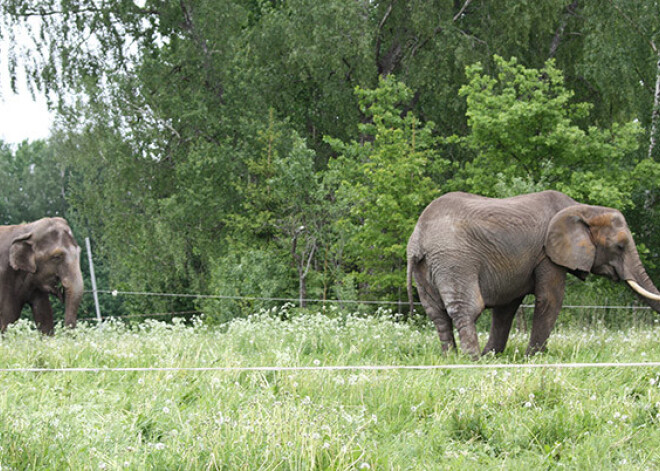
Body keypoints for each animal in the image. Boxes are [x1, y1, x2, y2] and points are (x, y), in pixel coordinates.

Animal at [404, 190, 660, 360]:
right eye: (620, 246)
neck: (584, 208)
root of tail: (418, 236)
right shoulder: (547, 254)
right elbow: (551, 299)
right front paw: (533, 358)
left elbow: (506, 308)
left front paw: (494, 356)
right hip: (455, 260)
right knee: (466, 309)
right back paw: (471, 360)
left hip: (426, 268)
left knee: (438, 315)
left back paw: (450, 359)